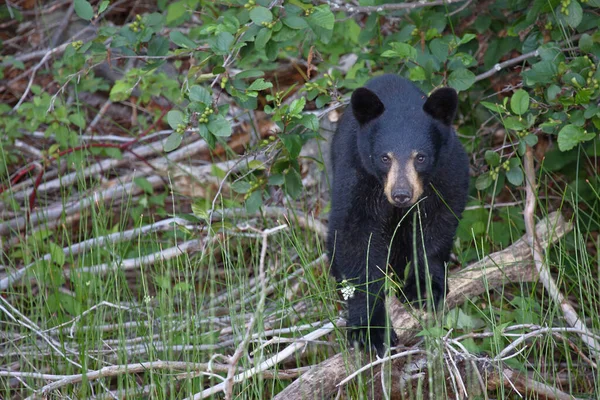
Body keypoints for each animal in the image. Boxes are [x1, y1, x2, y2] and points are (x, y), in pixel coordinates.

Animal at [328, 74, 468, 354]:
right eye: (385, 157)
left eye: (421, 157)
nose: (401, 194)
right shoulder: (357, 174)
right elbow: (355, 238)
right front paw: (370, 329)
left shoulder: (447, 169)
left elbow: (439, 222)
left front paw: (424, 287)